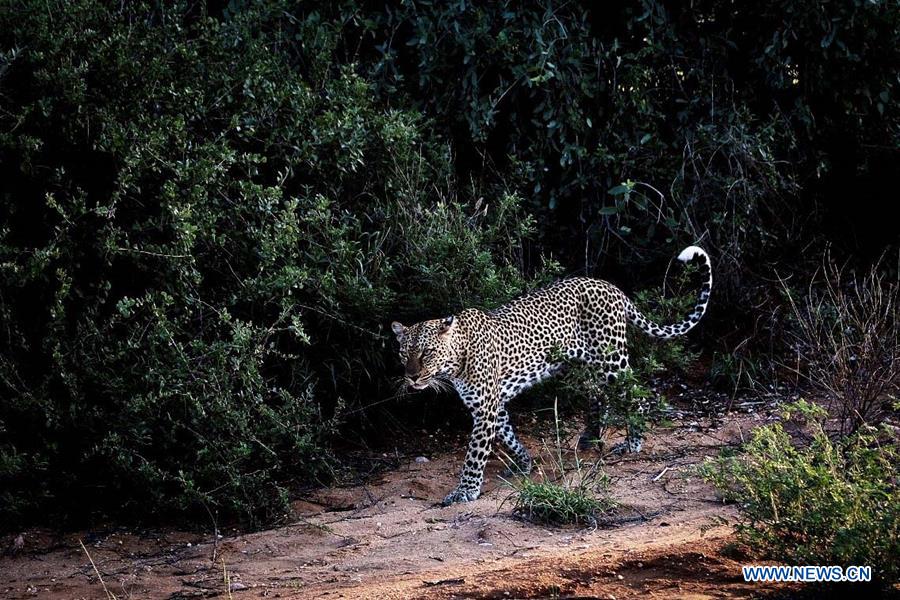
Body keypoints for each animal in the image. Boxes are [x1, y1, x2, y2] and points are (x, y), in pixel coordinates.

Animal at [390, 246, 712, 504]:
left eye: (427, 353)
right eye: (404, 355)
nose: (412, 378)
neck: (457, 359)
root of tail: (611, 287)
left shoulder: (485, 408)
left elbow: (475, 454)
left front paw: (465, 490)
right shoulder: (491, 404)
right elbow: (508, 435)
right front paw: (523, 463)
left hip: (612, 360)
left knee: (635, 397)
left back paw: (632, 443)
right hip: (580, 366)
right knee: (598, 395)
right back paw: (590, 438)